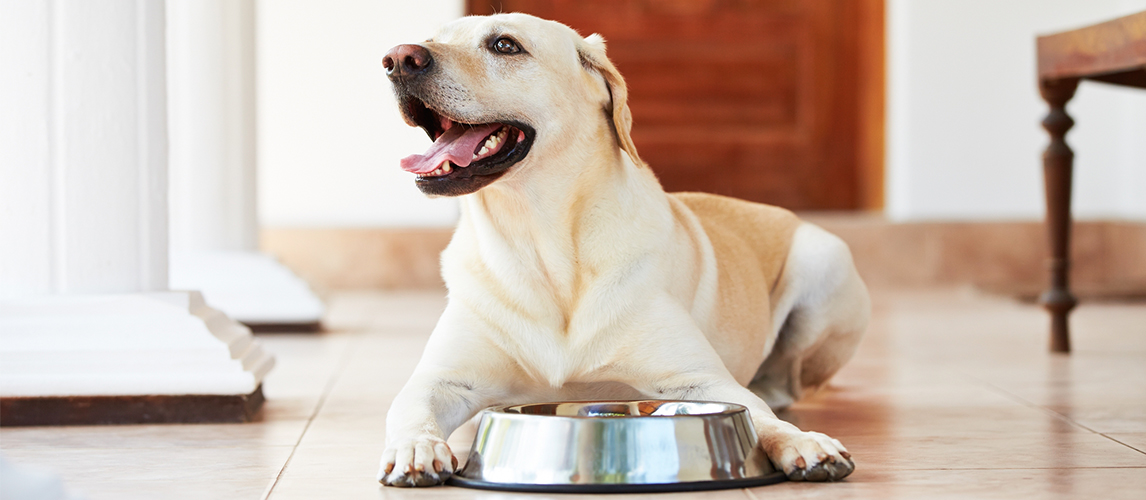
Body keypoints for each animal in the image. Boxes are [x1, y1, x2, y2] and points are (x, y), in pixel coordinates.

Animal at [375, 12, 866, 488]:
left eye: (504, 44)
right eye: (432, 37)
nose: (398, 59)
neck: (542, 243)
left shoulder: (700, 381)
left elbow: (758, 414)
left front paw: (802, 442)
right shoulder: (441, 381)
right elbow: (411, 408)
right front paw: (415, 448)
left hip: (826, 263)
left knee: (782, 387)